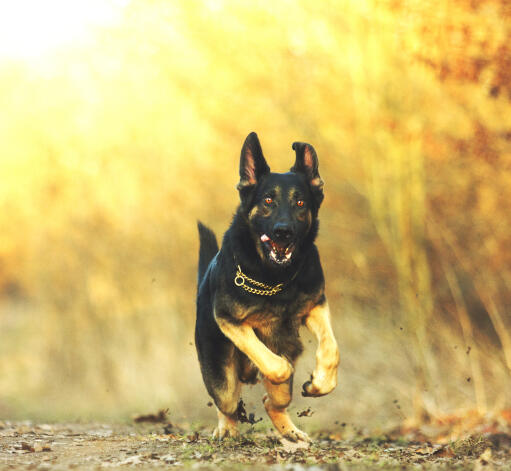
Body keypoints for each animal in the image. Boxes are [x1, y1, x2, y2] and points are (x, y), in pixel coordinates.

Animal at [196, 132, 340, 442]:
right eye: (268, 200)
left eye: (301, 203)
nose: (283, 232)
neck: (274, 278)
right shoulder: (229, 320)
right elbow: (274, 363)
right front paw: (282, 367)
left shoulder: (315, 306)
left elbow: (331, 348)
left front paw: (320, 383)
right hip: (221, 376)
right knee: (226, 404)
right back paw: (226, 429)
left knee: (272, 402)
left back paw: (293, 434)